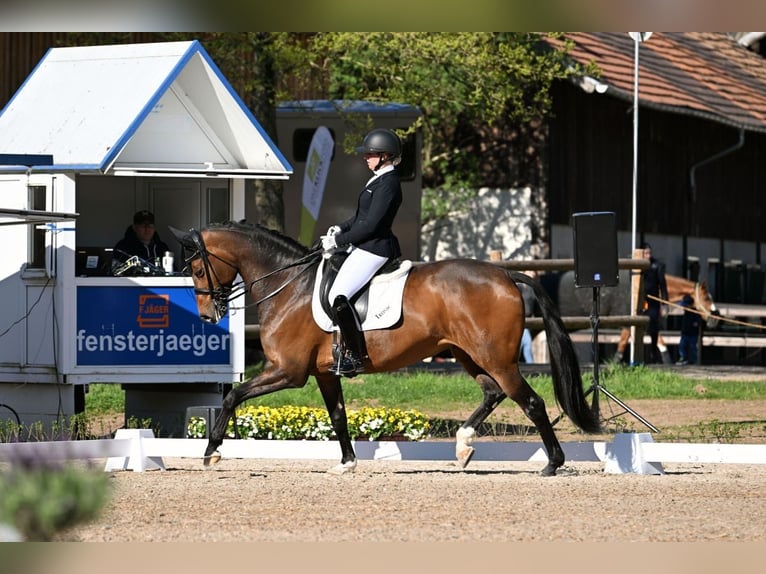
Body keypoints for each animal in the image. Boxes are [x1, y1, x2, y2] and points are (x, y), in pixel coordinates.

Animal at [171, 220, 604, 476]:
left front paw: (211, 452)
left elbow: (234, 396)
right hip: (469, 354)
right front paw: (346, 463)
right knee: (493, 392)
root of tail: (505, 274)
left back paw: (552, 464)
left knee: (530, 402)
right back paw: (463, 446)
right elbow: (338, 416)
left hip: (494, 357)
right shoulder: (324, 373)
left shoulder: (288, 371)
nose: (208, 315)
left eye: (197, 269)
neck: (289, 285)